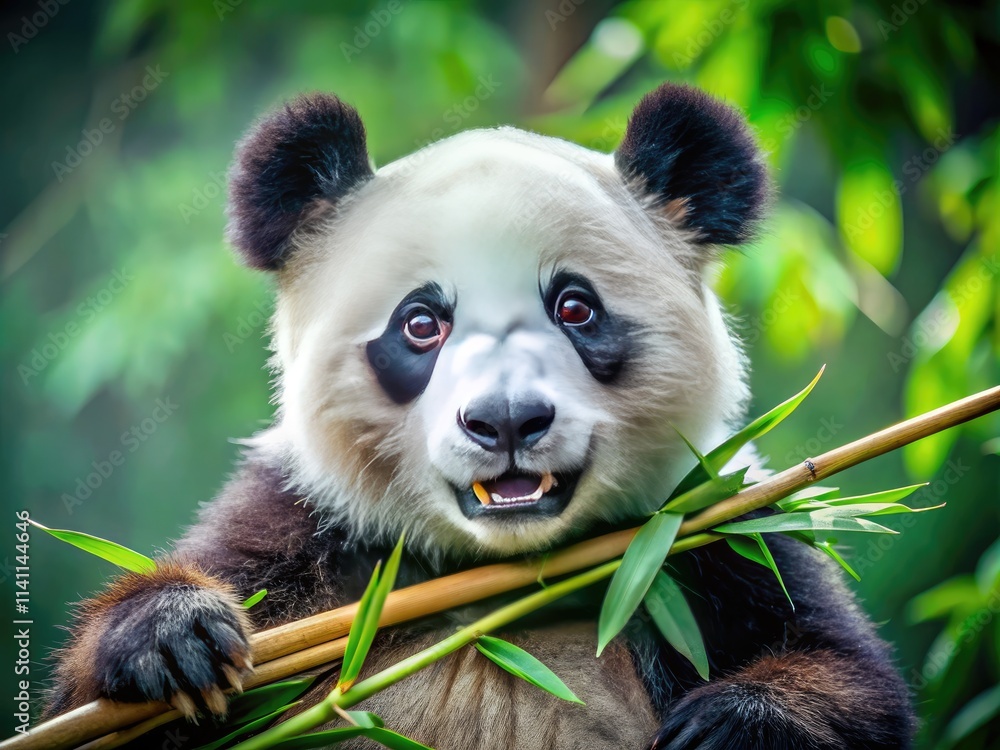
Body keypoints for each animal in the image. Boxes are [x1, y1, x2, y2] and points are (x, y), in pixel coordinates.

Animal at [48, 83, 915, 749]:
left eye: (575, 307)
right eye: (420, 324)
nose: (506, 421)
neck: (489, 580)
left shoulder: (707, 535)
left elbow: (846, 673)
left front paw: (734, 722)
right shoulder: (303, 537)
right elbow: (90, 713)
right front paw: (174, 636)